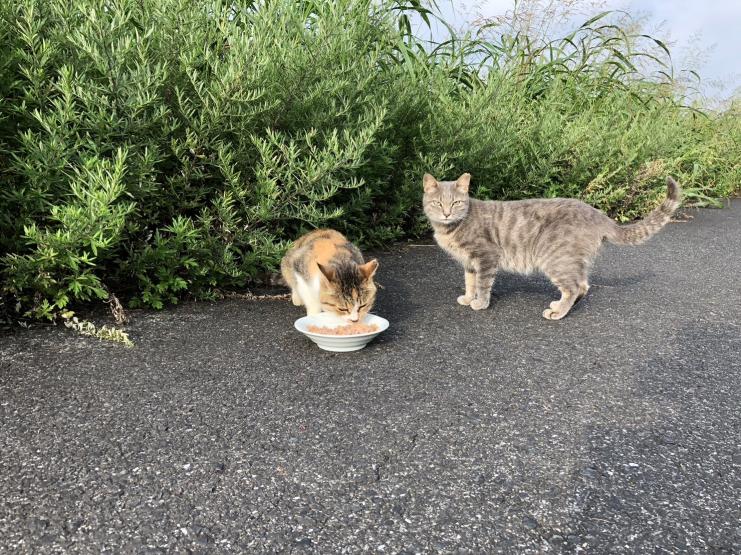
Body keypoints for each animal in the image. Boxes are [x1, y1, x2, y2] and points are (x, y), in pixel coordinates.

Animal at [422, 174, 684, 322]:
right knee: (583, 285)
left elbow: (483, 285)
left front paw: (480, 302)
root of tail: (598, 214)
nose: (447, 213)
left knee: (574, 287)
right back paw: (560, 306)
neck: (451, 229)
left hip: (555, 259)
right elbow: (470, 282)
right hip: (572, 261)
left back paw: (558, 313)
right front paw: (468, 298)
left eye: (456, 203)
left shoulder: (486, 257)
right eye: (438, 203)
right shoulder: (469, 264)